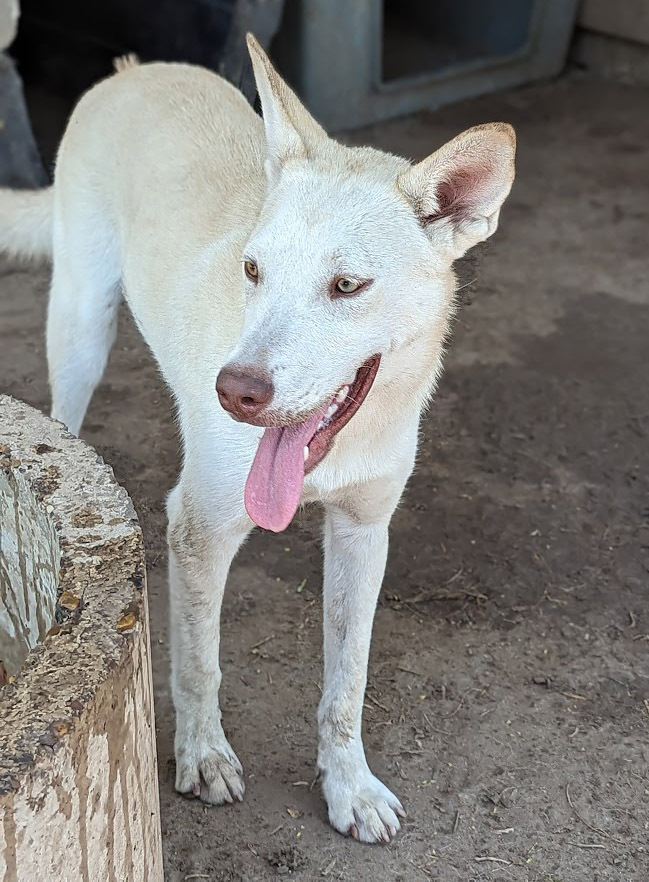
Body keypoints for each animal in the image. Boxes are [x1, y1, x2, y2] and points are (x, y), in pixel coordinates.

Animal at [1, 37, 516, 844]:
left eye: (347, 287)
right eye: (252, 269)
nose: (233, 391)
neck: (336, 449)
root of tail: (133, 71)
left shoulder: (364, 531)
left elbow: (347, 681)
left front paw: (348, 786)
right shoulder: (197, 528)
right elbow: (198, 663)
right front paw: (202, 757)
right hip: (82, 321)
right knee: (67, 414)